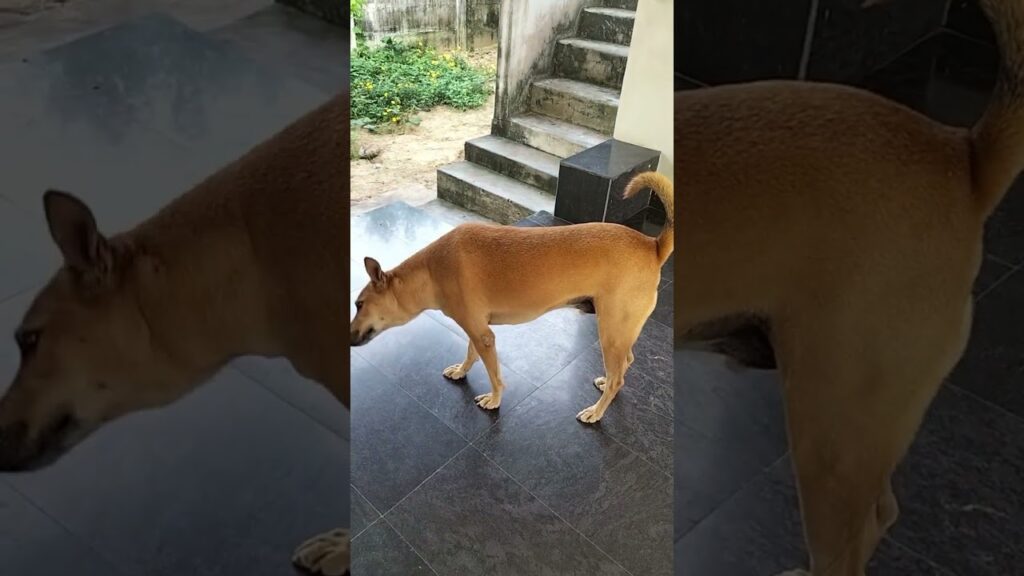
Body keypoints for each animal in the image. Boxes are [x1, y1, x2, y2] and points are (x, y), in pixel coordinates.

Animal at [352, 172, 671, 420]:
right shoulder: (476, 328)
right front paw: (462, 371)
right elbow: (470, 352)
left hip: (611, 331)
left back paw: (596, 411)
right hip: (621, 331)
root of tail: (652, 246)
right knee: (625, 363)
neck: (431, 272)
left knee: (619, 376)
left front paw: (494, 399)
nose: (349, 336)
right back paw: (606, 385)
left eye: (358, 303)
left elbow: (494, 374)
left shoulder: (484, 335)